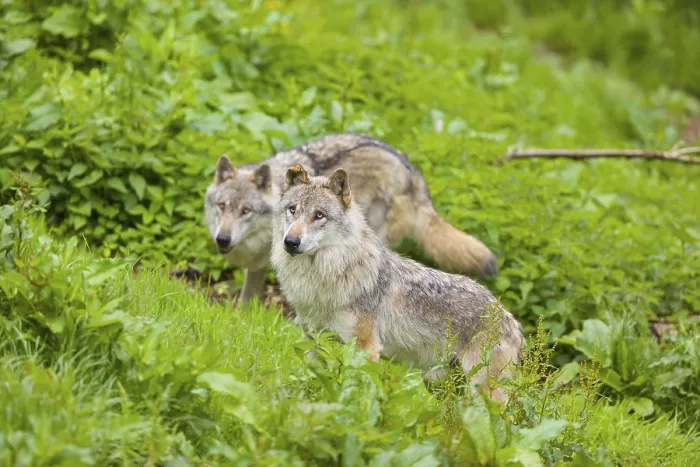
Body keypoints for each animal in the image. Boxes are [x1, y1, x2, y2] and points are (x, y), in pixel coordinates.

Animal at [204, 133, 498, 304]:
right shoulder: (257, 266)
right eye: (222, 206)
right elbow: (246, 298)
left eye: (246, 211)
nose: (223, 238)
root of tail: (413, 174)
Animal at [270, 164, 524, 401]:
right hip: (440, 386)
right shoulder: (314, 343)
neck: (324, 278)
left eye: (319, 215)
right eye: (292, 210)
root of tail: (508, 317)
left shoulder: (365, 349)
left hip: (484, 392)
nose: (290, 241)